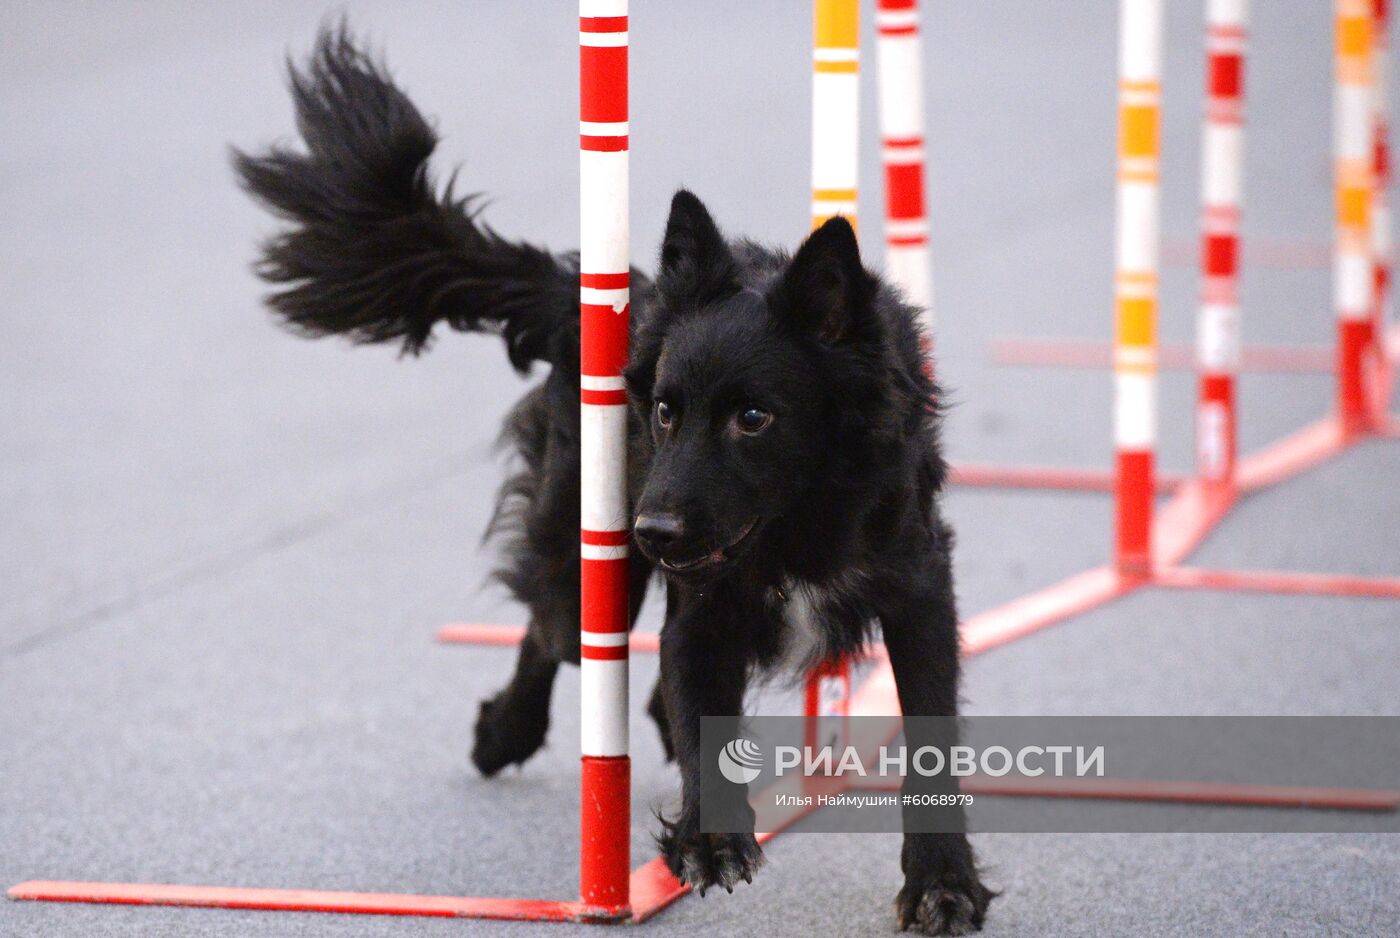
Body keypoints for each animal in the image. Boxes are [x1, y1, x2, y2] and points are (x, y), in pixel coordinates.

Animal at [235, 27, 991, 935]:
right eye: (663, 410)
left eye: (754, 417)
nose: (653, 533)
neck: (798, 523)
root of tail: (608, 288)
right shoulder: (700, 606)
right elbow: (696, 700)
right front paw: (710, 839)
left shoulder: (919, 591)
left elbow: (930, 736)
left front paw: (943, 882)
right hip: (581, 554)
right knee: (552, 631)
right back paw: (505, 731)